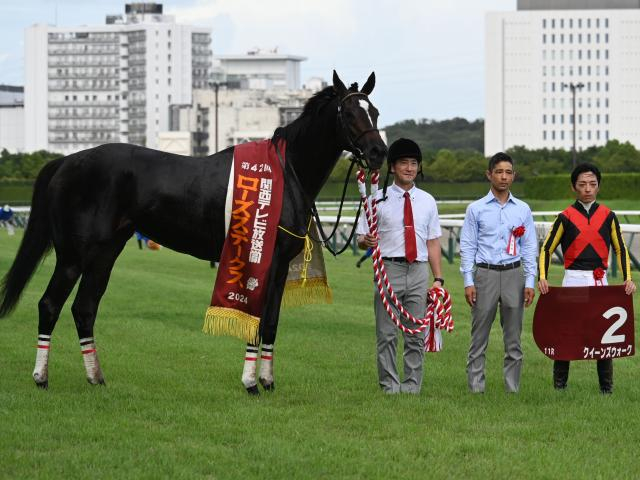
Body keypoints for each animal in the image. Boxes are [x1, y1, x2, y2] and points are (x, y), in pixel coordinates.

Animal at [0, 71, 384, 394]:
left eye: (375, 112)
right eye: (349, 113)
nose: (378, 152)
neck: (286, 172)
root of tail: (66, 161)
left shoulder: (277, 270)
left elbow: (271, 323)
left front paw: (268, 381)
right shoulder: (264, 262)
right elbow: (256, 321)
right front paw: (250, 383)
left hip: (105, 254)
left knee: (84, 308)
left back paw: (96, 378)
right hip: (73, 256)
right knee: (50, 304)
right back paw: (41, 377)